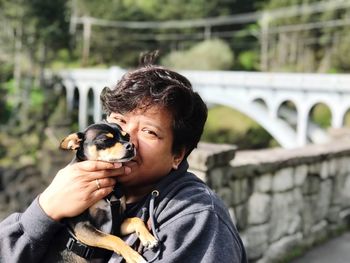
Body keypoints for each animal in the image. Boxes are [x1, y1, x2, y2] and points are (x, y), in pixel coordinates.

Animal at [42, 122, 159, 263]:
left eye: (127, 136)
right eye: (105, 140)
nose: (131, 145)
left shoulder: (117, 224)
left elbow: (136, 220)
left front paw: (149, 238)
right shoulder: (83, 227)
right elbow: (114, 239)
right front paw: (134, 257)